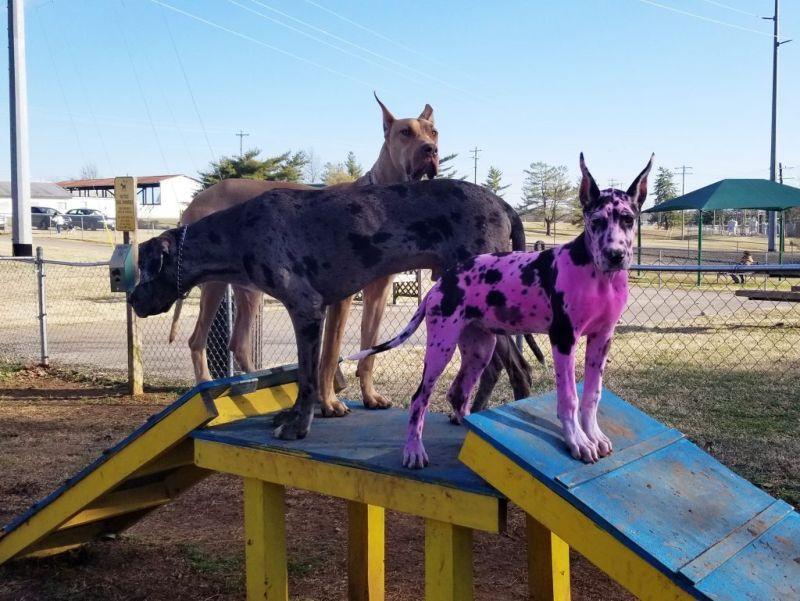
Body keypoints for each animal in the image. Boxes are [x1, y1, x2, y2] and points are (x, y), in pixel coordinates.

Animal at [130, 180, 532, 438]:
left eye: (147, 268)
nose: (132, 299)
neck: (237, 231)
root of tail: (505, 205)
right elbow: (304, 376)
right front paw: (291, 416)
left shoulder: (307, 310)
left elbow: (308, 378)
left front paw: (298, 426)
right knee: (495, 364)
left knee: (520, 367)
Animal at [350, 152, 648, 466]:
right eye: (597, 221)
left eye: (628, 219)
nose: (615, 255)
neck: (595, 274)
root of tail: (440, 283)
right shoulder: (564, 339)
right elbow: (569, 398)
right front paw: (577, 441)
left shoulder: (602, 338)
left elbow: (592, 395)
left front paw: (594, 435)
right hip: (441, 347)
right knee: (420, 397)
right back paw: (414, 450)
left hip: (480, 348)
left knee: (458, 393)